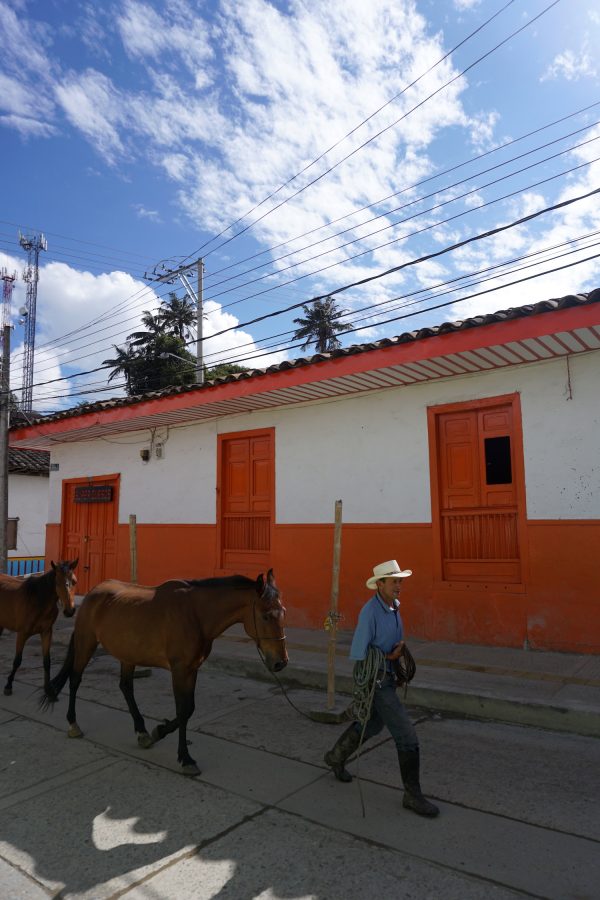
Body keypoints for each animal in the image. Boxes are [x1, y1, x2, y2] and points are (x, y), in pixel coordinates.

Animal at [0, 564, 78, 696]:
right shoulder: (22, 634)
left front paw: (49, 689)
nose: (69, 611)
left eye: (74, 581)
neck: (37, 601)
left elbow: (47, 661)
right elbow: (17, 660)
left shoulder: (46, 633)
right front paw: (8, 685)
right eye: (57, 582)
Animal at [41, 568, 288, 772]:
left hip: (127, 653)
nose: (281, 662)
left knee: (126, 687)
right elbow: (183, 710)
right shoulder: (179, 669)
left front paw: (157, 733)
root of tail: (93, 593)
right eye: (266, 615)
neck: (196, 614)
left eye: (283, 611)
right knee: (75, 679)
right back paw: (73, 723)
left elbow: (189, 709)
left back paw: (141, 731)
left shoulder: (192, 668)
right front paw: (185, 757)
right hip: (86, 642)